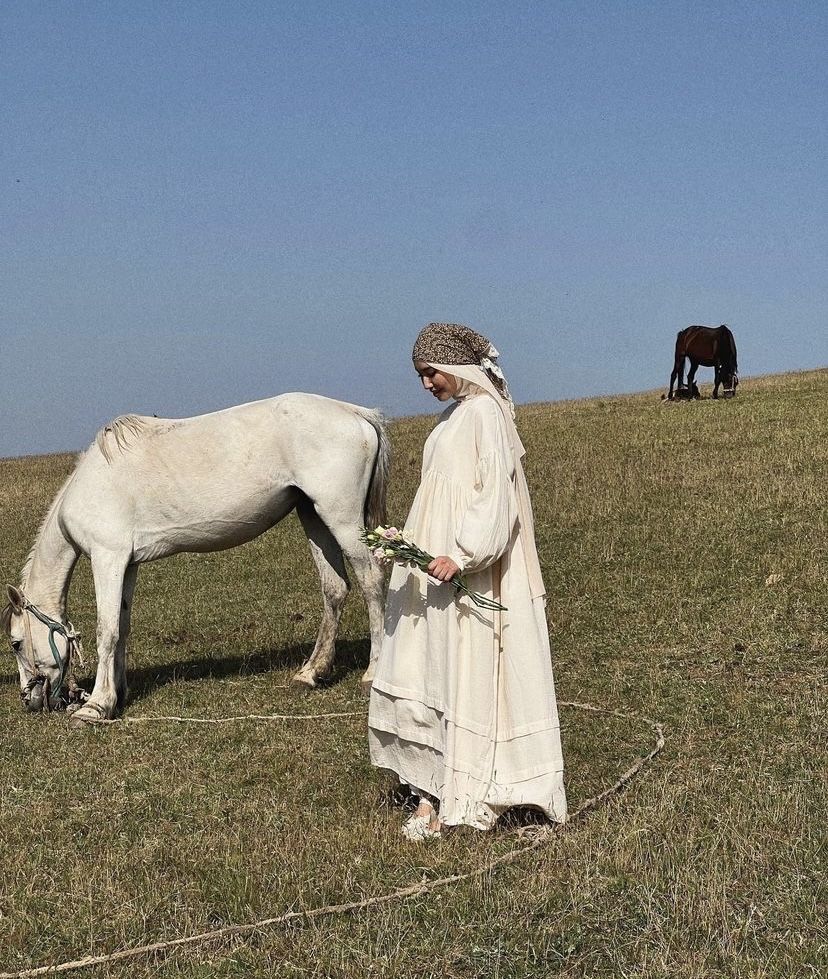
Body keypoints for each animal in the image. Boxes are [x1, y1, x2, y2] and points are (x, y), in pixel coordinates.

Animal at [1, 394, 390, 724]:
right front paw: (119, 694)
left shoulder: (107, 558)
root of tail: (357, 412)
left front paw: (96, 706)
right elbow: (123, 627)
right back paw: (310, 673)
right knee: (334, 589)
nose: (29, 701)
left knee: (372, 582)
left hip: (341, 519)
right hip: (313, 515)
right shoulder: (128, 564)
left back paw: (371, 675)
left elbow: (107, 631)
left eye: (16, 643)